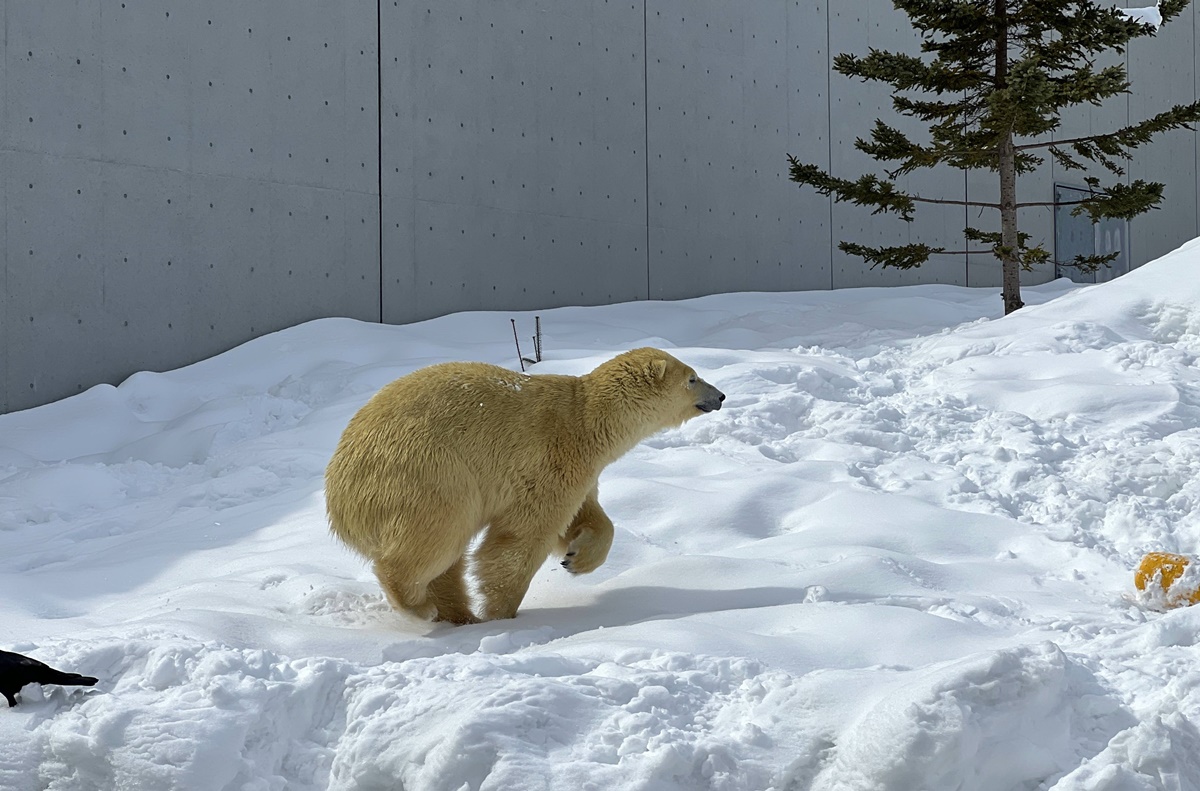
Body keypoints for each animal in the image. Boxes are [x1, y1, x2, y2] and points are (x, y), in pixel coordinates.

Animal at [324, 345, 724, 624]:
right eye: (692, 378)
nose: (720, 396)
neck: (588, 420)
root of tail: (338, 497)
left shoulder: (582, 468)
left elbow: (587, 516)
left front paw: (575, 559)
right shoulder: (553, 457)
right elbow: (522, 537)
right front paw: (503, 613)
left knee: (446, 560)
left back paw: (457, 615)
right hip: (427, 472)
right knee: (435, 539)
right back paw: (420, 607)